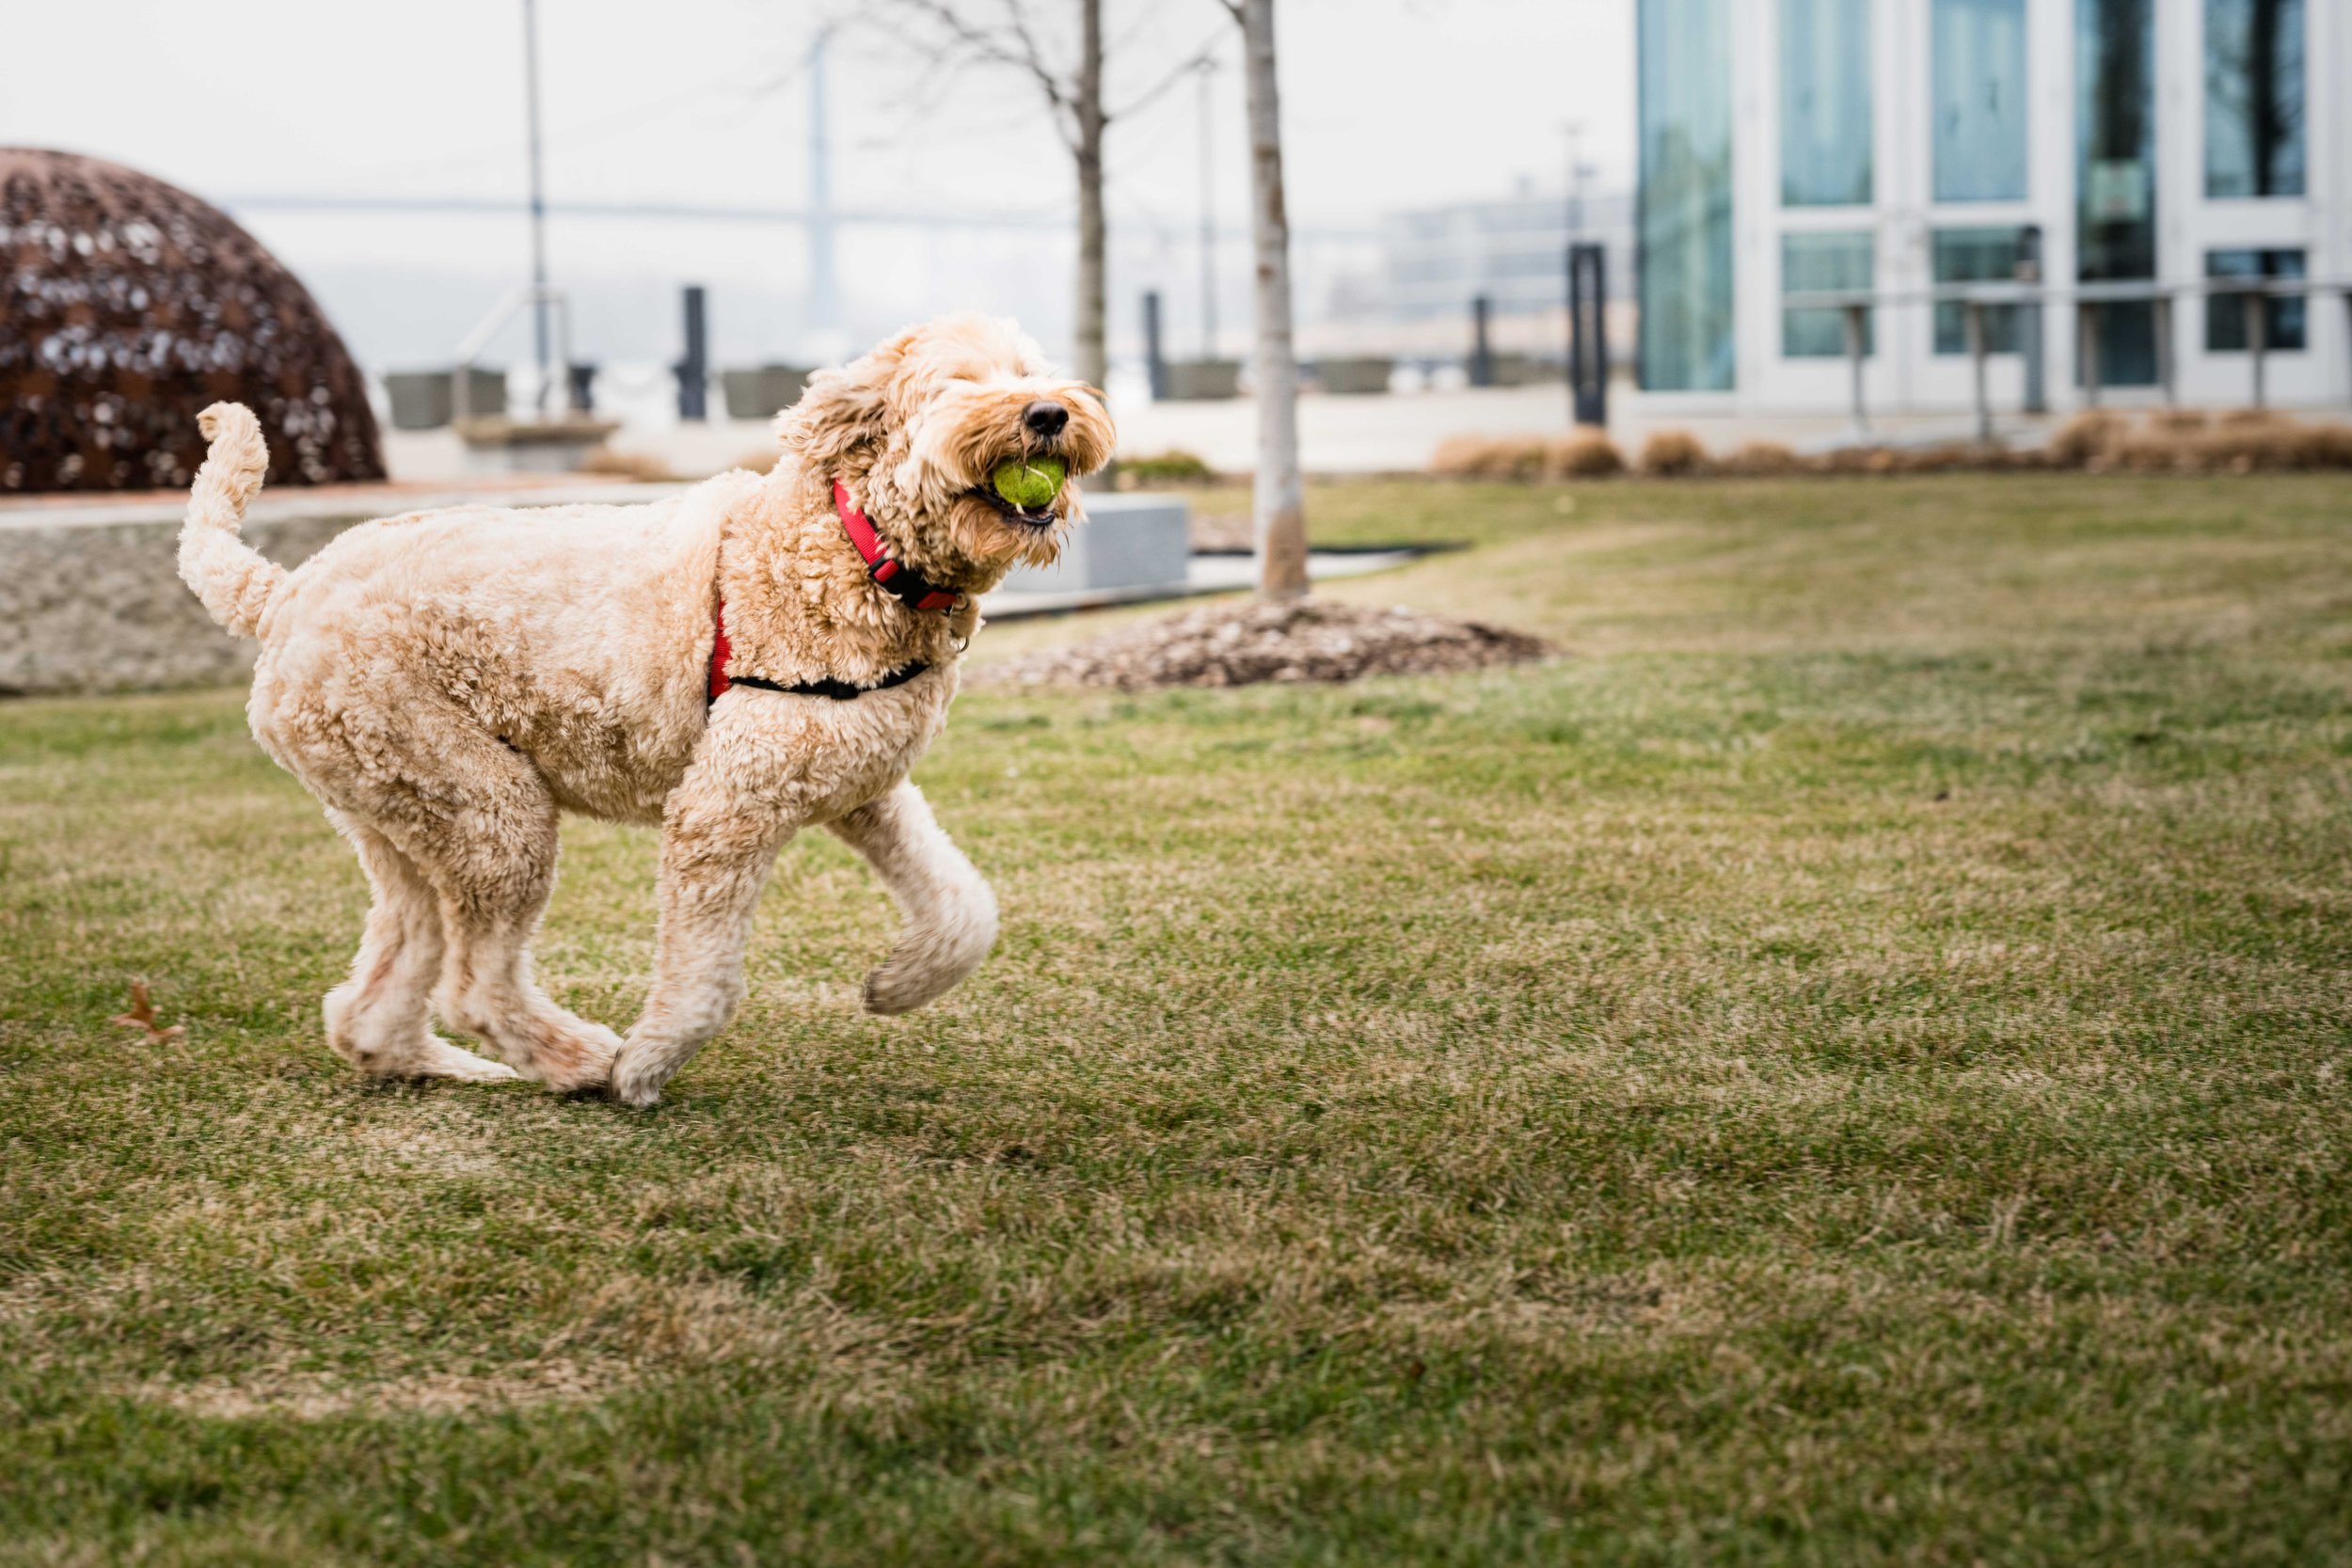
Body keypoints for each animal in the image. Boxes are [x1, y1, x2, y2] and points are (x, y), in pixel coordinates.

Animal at [174, 312, 1110, 1109]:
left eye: (1028, 370)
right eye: (958, 382)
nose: (1049, 412)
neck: (852, 545)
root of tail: (282, 593)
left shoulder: (865, 789)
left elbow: (965, 908)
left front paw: (899, 983)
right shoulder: (724, 809)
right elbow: (705, 981)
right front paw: (646, 1064)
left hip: (398, 814)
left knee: (381, 984)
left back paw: (439, 1063)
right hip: (487, 808)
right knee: (476, 984)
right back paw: (579, 1060)